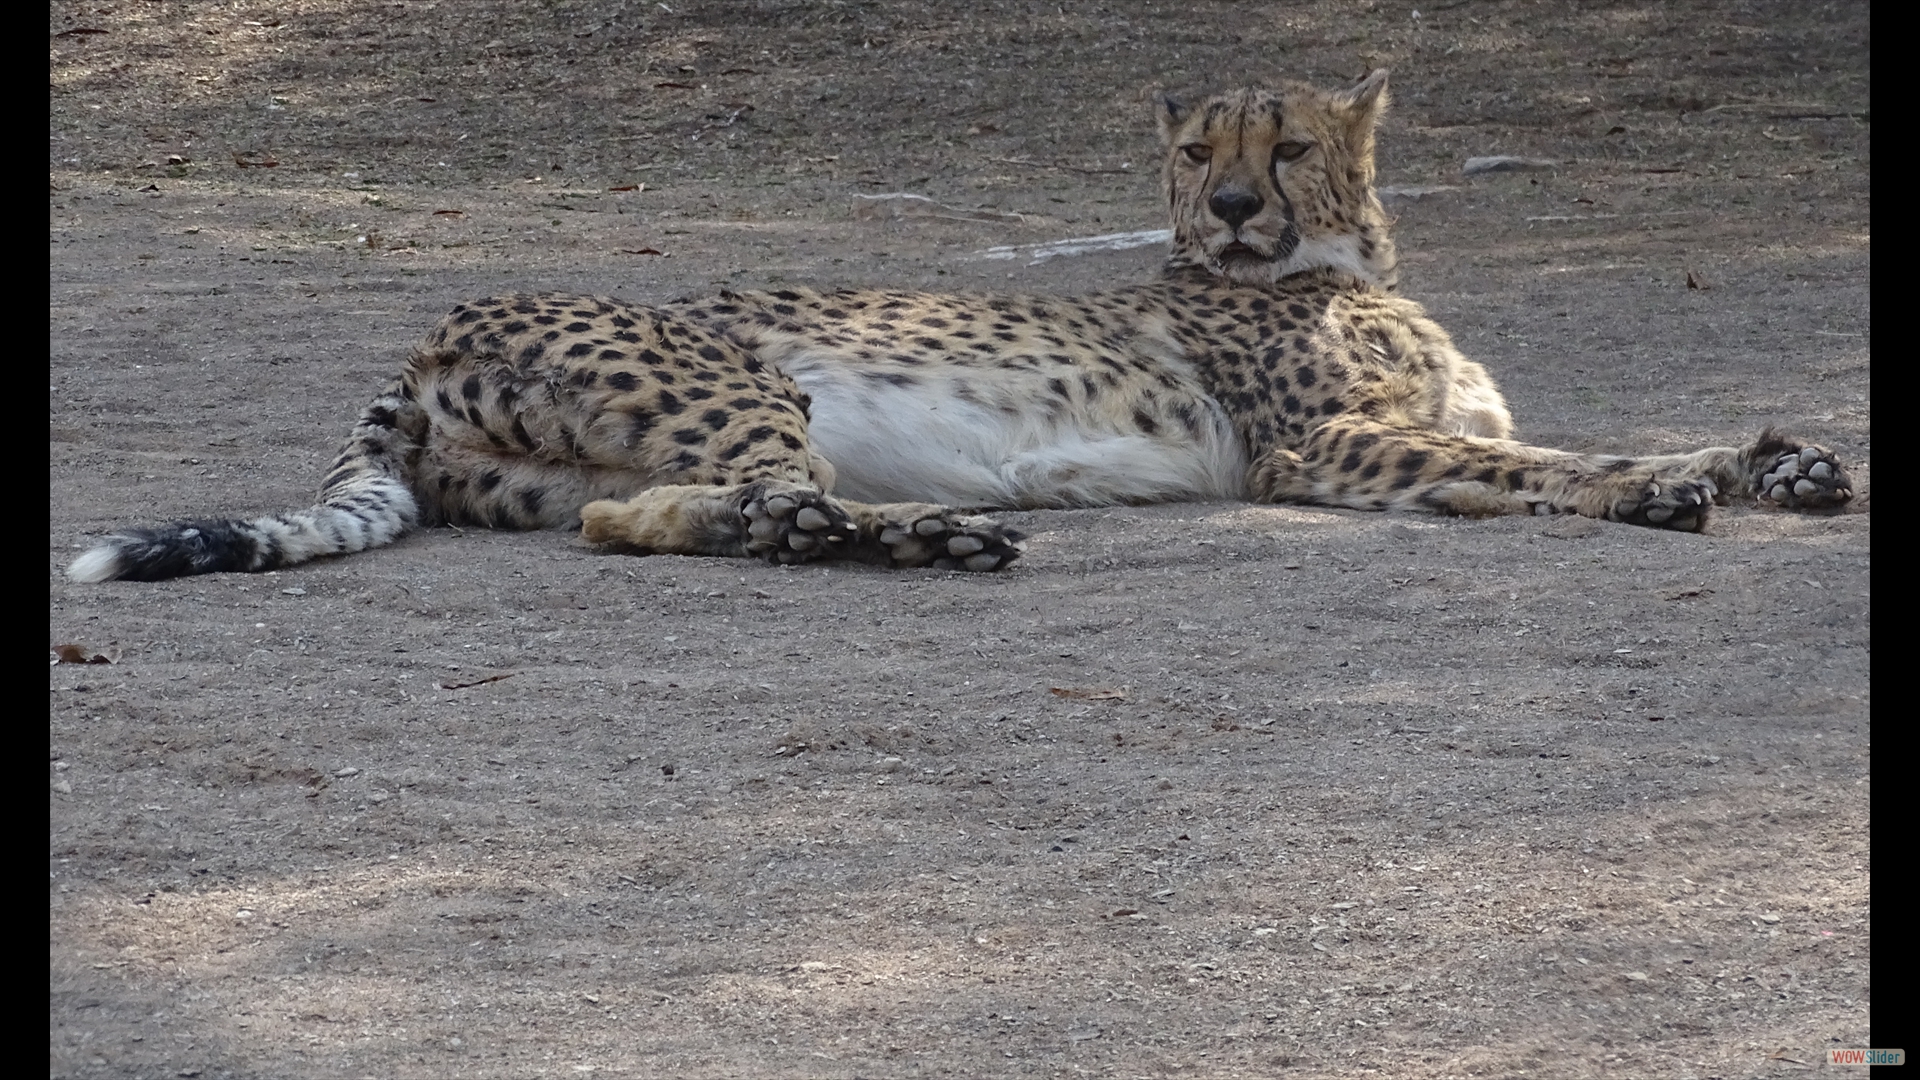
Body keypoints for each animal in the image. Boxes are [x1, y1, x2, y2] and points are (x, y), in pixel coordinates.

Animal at [67, 71, 1850, 584]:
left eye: (1284, 144)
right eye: (1197, 152)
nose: (1232, 210)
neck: (1334, 263)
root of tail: (430, 330)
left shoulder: (1411, 433)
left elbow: (1569, 442)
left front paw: (1774, 457)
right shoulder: (1328, 451)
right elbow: (1556, 470)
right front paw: (1655, 490)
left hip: (563, 468)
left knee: (637, 517)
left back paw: (868, 537)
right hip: (746, 377)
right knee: (685, 504)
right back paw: (917, 537)